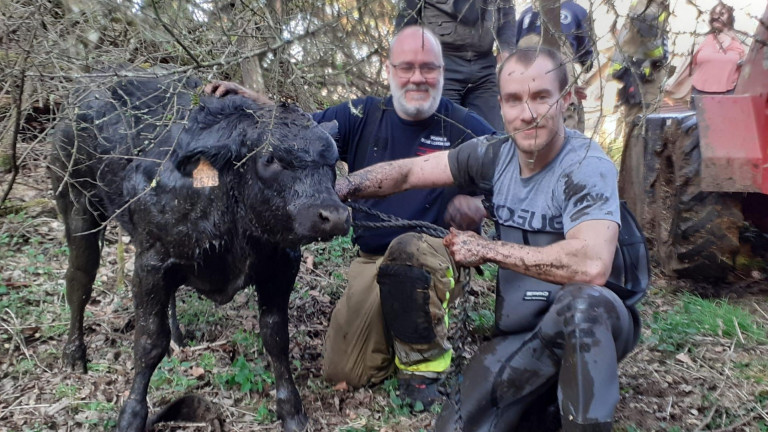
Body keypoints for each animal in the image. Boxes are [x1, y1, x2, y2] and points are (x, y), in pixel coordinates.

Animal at [52, 72, 352, 430]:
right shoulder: (151, 263)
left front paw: (292, 410)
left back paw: (177, 340)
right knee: (79, 280)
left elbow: (276, 337)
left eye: (332, 161)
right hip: (77, 203)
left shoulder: (282, 265)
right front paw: (132, 414)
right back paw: (73, 354)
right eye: (269, 158)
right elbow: (149, 340)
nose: (334, 216)